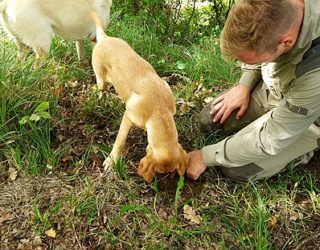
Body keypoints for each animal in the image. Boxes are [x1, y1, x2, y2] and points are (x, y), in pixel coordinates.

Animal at [89, 11, 189, 183]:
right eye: (160, 172)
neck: (159, 112)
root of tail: (105, 38)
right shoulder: (128, 117)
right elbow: (120, 140)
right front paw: (112, 160)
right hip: (101, 79)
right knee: (101, 90)